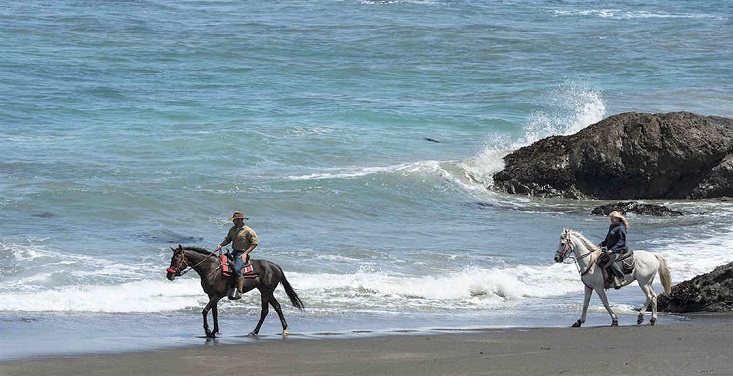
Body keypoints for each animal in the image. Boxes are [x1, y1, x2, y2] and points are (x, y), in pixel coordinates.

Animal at [165, 244, 304, 338]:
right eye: (172, 258)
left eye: (176, 259)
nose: (169, 275)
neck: (211, 269)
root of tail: (276, 266)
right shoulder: (211, 295)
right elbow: (214, 312)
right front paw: (214, 331)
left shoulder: (217, 295)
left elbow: (205, 311)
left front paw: (208, 331)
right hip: (265, 292)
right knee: (274, 307)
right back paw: (269, 330)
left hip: (266, 292)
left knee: (268, 309)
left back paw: (261, 331)